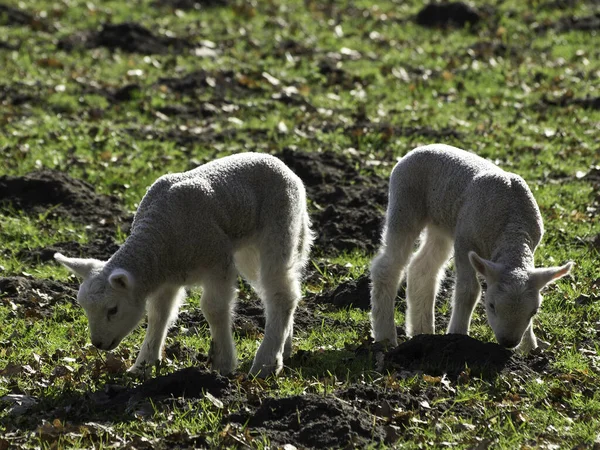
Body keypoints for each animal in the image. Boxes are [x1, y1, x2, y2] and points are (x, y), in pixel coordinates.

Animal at [55, 153, 314, 378]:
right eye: (85, 308)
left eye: (113, 309)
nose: (98, 343)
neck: (159, 239)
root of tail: (280, 164)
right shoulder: (165, 277)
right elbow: (159, 315)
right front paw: (143, 365)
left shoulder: (217, 260)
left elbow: (214, 309)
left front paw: (223, 364)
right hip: (248, 250)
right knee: (274, 293)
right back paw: (284, 348)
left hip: (280, 227)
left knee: (282, 293)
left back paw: (266, 363)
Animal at [370, 144, 572, 352]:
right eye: (491, 306)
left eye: (534, 312)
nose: (508, 343)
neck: (512, 228)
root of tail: (421, 148)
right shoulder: (465, 241)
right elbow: (469, 290)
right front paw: (457, 334)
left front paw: (529, 348)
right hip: (405, 203)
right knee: (388, 267)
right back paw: (385, 336)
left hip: (441, 223)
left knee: (423, 268)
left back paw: (422, 332)